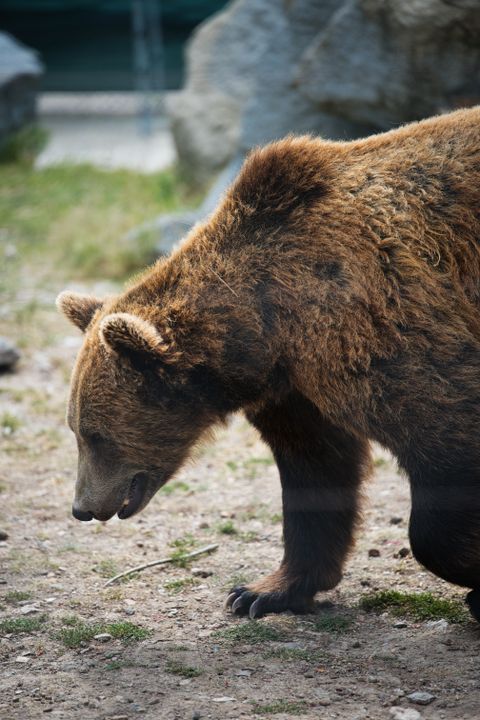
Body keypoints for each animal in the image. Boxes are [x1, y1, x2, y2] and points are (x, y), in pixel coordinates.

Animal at [57, 106, 480, 621]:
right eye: (77, 430)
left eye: (95, 434)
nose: (81, 507)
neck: (270, 326)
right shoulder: (295, 388)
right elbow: (316, 469)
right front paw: (263, 590)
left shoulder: (388, 325)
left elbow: (446, 433)